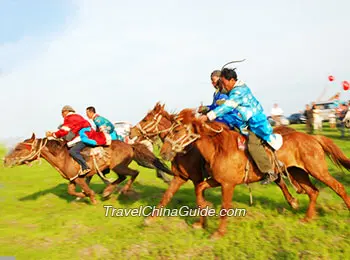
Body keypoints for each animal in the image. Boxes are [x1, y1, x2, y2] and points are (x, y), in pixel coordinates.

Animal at [4, 133, 174, 204]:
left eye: (19, 148)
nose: (5, 160)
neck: (63, 156)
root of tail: (129, 145)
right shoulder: (73, 179)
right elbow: (71, 191)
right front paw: (81, 196)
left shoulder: (80, 178)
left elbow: (86, 189)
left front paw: (91, 198)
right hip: (117, 168)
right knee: (123, 177)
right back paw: (108, 191)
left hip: (120, 166)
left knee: (133, 173)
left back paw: (121, 190)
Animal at [129, 102, 300, 226]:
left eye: (145, 119)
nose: (131, 132)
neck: (187, 149)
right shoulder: (180, 177)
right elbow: (167, 196)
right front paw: (150, 219)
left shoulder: (197, 178)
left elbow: (199, 198)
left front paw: (204, 217)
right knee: (279, 180)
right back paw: (293, 202)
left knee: (278, 179)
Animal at [159, 108, 350, 239]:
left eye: (176, 130)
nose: (163, 152)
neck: (219, 148)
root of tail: (313, 138)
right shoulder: (216, 180)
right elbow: (199, 189)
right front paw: (202, 219)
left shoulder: (227, 184)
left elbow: (224, 207)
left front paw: (218, 233)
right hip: (299, 173)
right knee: (313, 192)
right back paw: (307, 218)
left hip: (318, 170)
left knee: (338, 187)